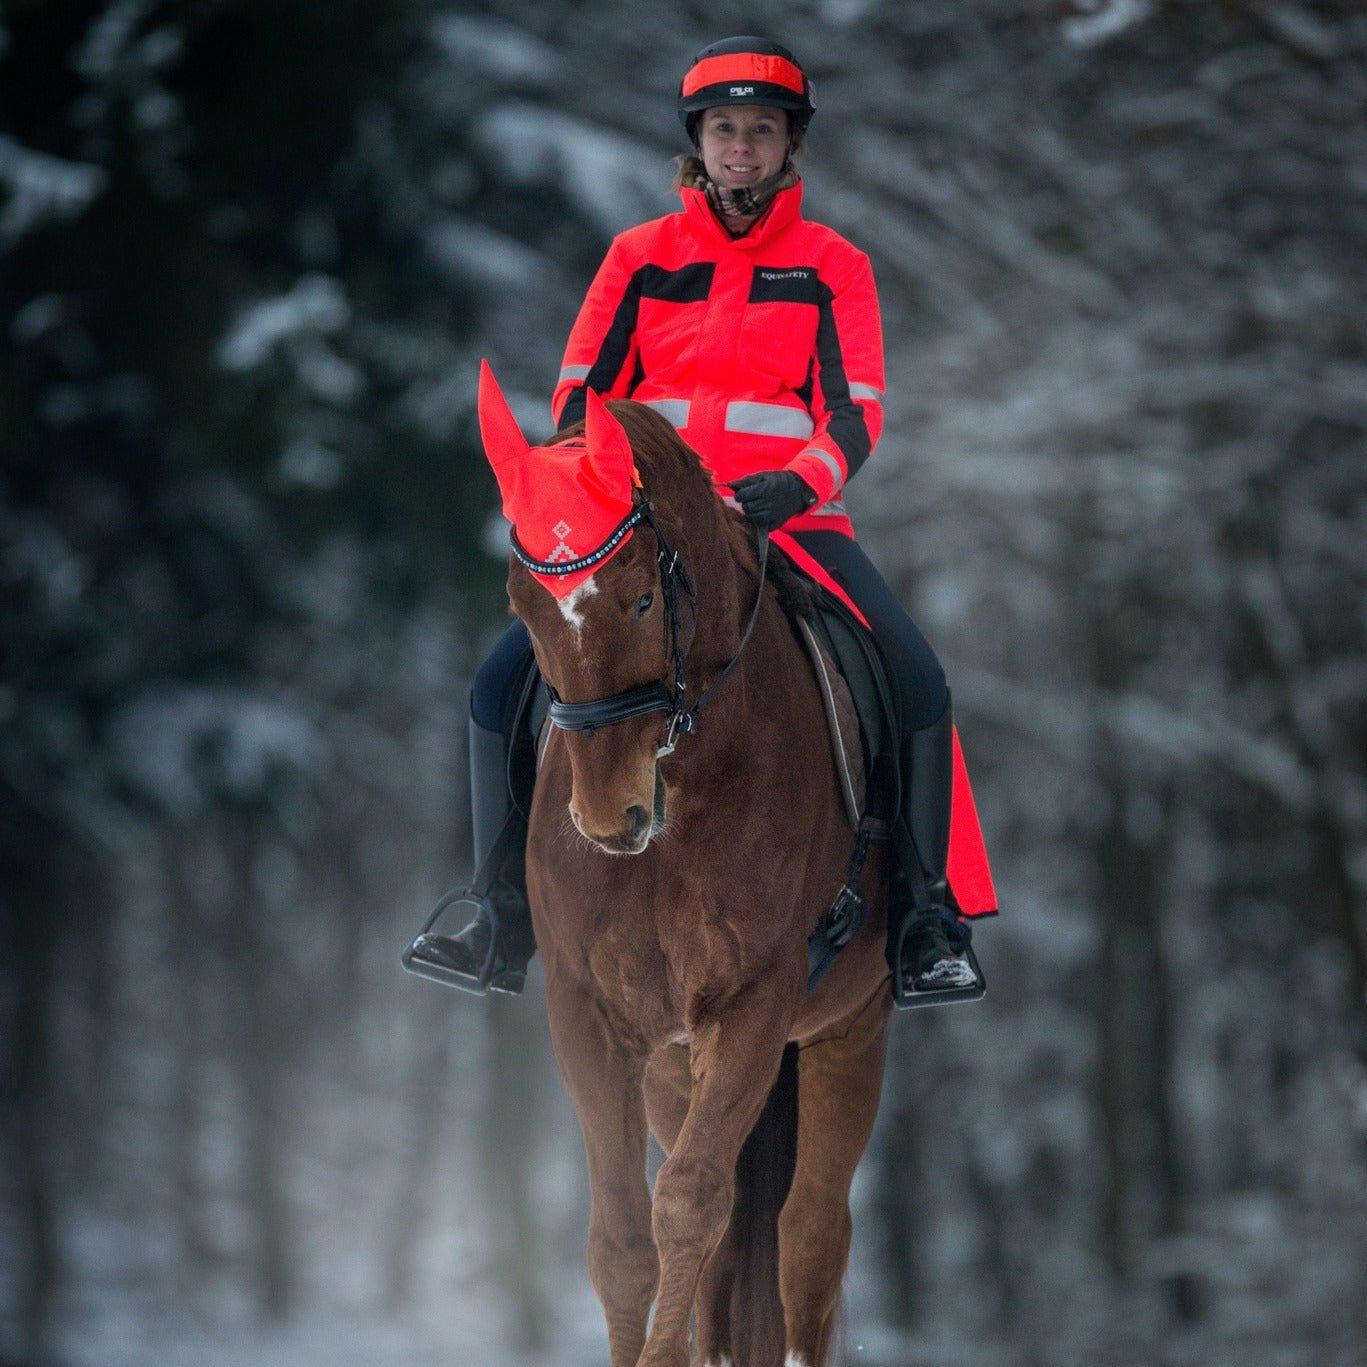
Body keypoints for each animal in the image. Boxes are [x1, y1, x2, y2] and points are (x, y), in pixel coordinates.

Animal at [481, 366, 896, 1367]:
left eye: (639, 599)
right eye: (524, 609)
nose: (607, 815)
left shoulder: (753, 1002)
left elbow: (691, 1205)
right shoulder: (590, 1014)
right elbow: (624, 1238)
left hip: (845, 1031)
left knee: (807, 1237)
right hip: (674, 1070)